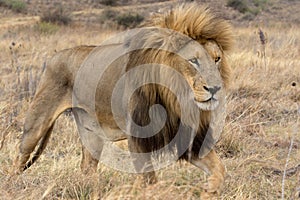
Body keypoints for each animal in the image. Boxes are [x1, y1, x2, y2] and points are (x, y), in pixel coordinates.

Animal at [14, 3, 233, 198]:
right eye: (193, 61)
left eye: (217, 59)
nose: (215, 88)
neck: (174, 99)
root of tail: (54, 56)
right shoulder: (138, 137)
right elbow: (149, 179)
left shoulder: (187, 137)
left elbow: (220, 170)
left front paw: (208, 191)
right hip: (37, 122)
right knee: (20, 157)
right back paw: (13, 183)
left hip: (91, 134)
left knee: (87, 167)